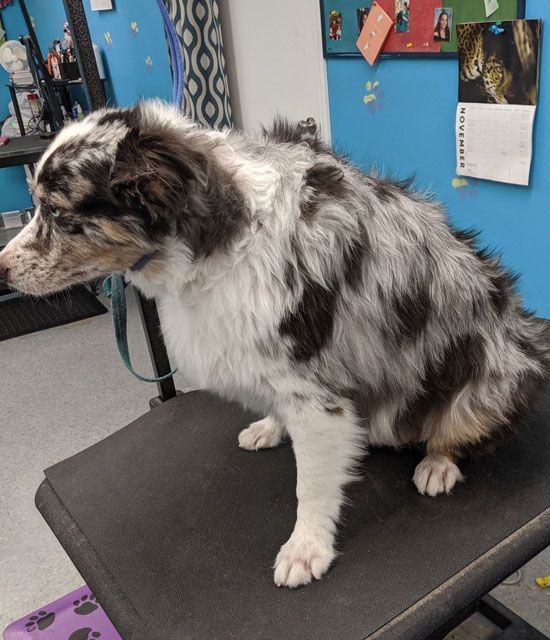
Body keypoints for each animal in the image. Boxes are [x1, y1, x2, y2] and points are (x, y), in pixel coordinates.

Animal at [0, 101, 548, 592]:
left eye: (57, 212)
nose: (1, 269)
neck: (220, 238)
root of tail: (525, 335)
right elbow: (277, 406)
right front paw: (270, 425)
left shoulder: (316, 391)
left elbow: (312, 486)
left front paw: (307, 549)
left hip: (494, 378)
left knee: (461, 428)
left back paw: (438, 462)